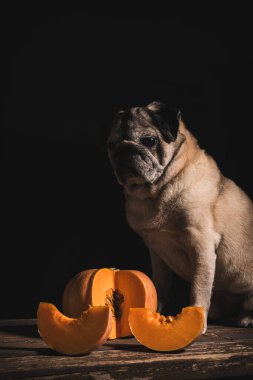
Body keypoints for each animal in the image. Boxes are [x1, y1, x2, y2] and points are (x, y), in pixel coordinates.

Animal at [107, 101, 253, 332]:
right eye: (112, 146)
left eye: (149, 141)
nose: (125, 150)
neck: (158, 191)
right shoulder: (156, 252)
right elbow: (160, 285)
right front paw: (153, 312)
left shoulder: (201, 244)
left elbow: (199, 287)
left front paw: (196, 319)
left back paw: (246, 318)